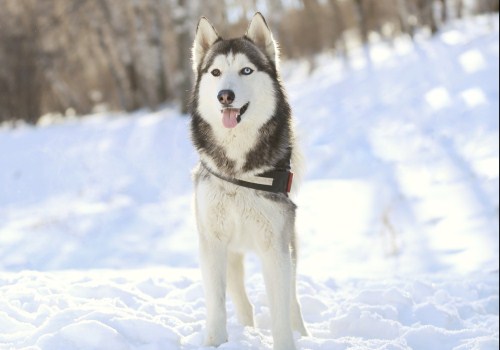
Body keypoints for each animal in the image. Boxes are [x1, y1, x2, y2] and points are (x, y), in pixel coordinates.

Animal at [191, 11, 308, 350]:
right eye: (215, 72)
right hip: (231, 254)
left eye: (246, 70)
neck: (238, 169)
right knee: (243, 302)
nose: (224, 96)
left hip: (288, 246)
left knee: (291, 300)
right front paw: (215, 341)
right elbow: (217, 305)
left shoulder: (275, 247)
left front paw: (287, 342)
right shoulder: (212, 242)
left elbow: (281, 310)